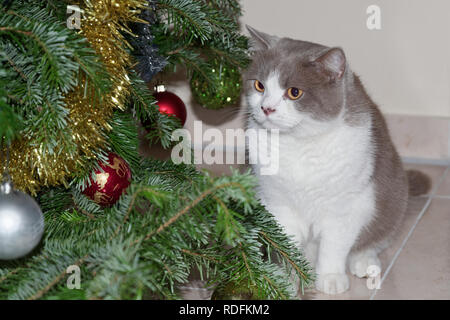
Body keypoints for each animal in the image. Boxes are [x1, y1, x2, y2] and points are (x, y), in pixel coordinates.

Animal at [244, 25, 430, 296]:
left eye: (294, 92)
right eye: (259, 86)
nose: (267, 108)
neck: (298, 145)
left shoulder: (345, 205)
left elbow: (335, 244)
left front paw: (330, 278)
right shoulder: (276, 202)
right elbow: (286, 245)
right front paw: (287, 279)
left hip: (392, 196)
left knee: (374, 238)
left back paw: (364, 262)